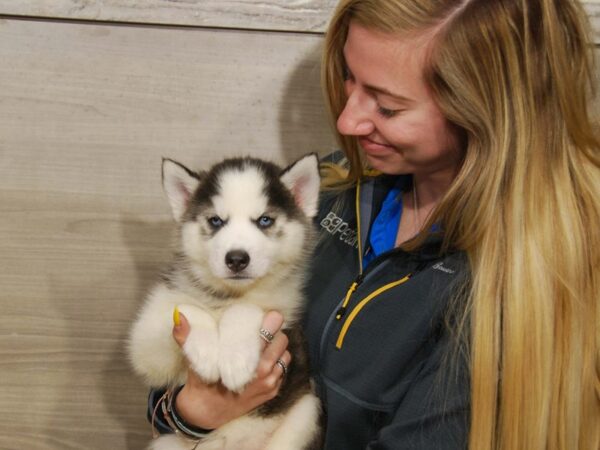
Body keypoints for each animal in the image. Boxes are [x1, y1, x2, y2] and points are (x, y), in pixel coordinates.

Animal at [127, 155, 324, 450]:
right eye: (216, 221)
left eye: (264, 220)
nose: (237, 259)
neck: (228, 296)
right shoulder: (147, 341)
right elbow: (185, 309)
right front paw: (207, 354)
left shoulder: (287, 321)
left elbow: (246, 308)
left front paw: (236, 358)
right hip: (166, 443)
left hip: (306, 413)